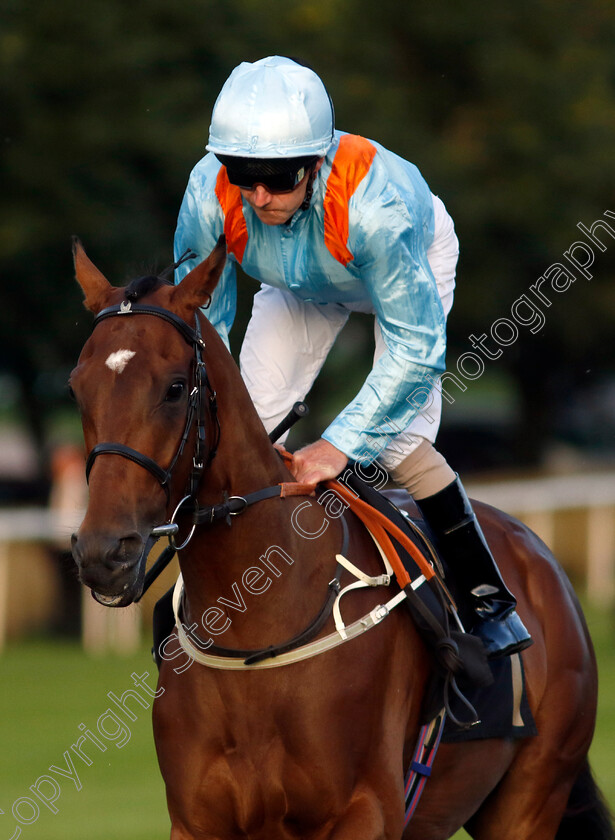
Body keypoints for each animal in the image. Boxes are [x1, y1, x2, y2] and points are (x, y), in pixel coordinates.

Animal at [70, 235, 612, 840]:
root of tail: (538, 555)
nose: (104, 552)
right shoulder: (195, 821)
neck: (259, 624)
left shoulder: (365, 810)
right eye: (78, 388)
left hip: (531, 797)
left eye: (174, 387)